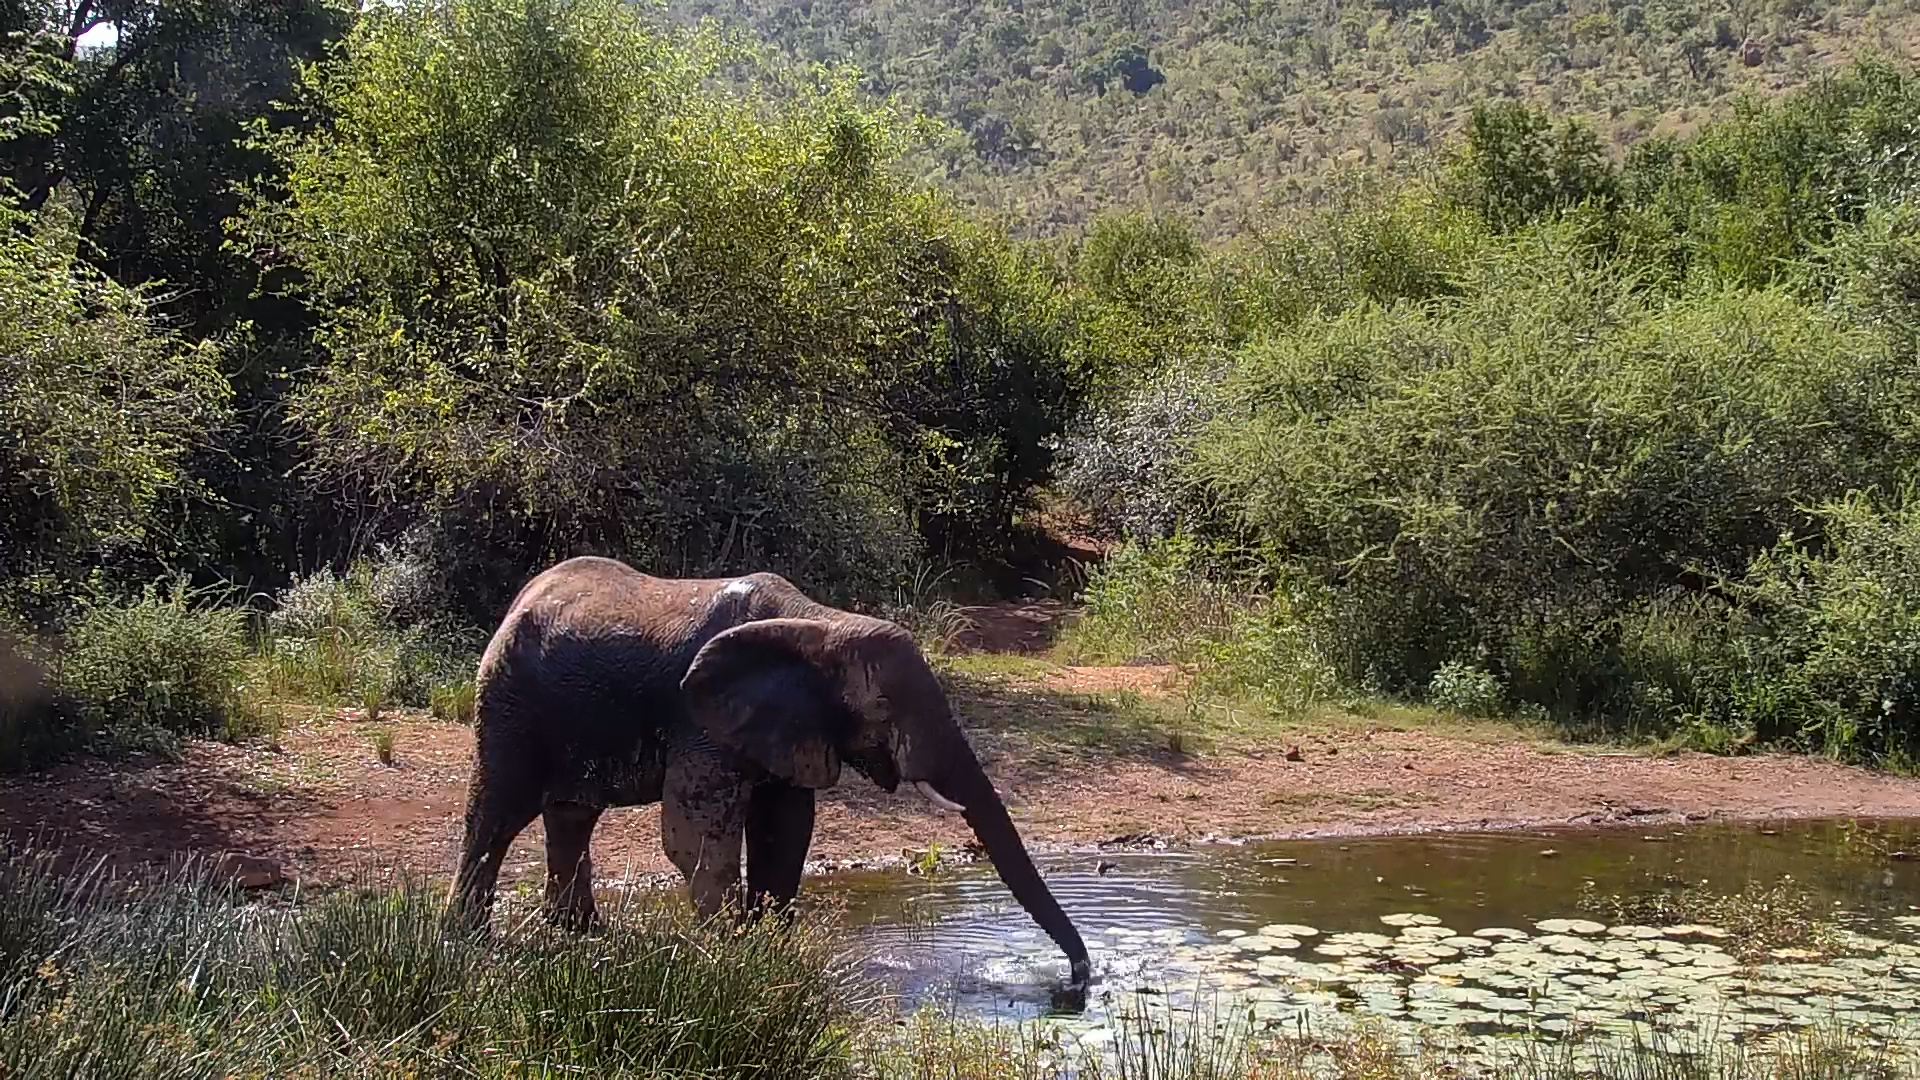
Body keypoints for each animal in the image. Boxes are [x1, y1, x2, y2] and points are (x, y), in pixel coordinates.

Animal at [444, 555, 1092, 991]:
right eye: (883, 707)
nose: (1079, 978)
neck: (819, 624)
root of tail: (521, 597)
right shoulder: (699, 718)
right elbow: (696, 833)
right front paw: (731, 953)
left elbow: (786, 828)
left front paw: (770, 953)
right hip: (507, 699)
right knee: (498, 813)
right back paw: (468, 939)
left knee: (571, 816)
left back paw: (582, 937)